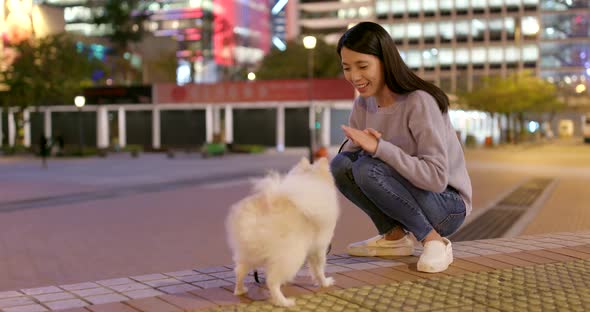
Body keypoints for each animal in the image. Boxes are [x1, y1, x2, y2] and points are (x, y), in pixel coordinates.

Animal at [225, 157, 340, 306]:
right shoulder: (320, 247)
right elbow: (319, 268)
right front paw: (325, 283)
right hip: (292, 255)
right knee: (272, 281)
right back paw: (284, 302)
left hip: (249, 254)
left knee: (239, 271)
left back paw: (240, 290)